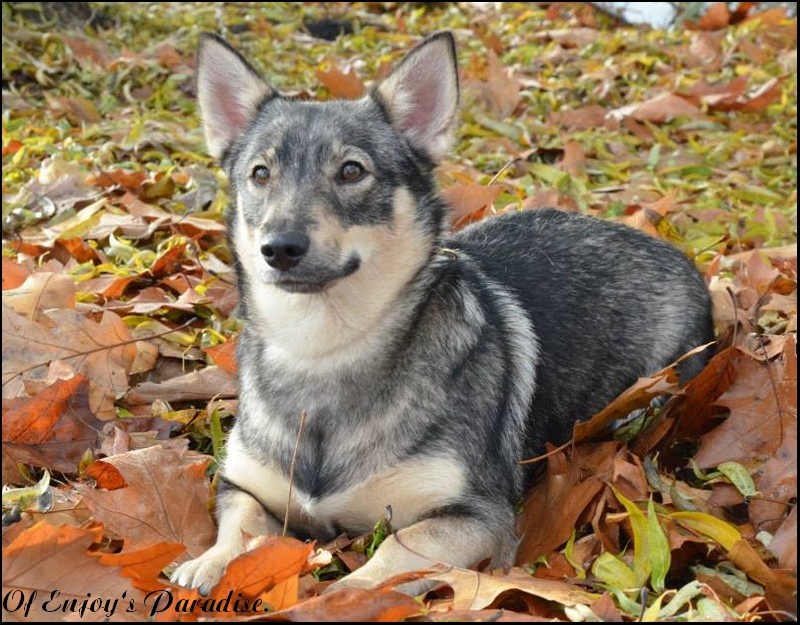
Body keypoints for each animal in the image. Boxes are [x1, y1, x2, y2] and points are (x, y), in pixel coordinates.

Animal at [173, 30, 712, 596]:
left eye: (351, 171)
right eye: (260, 174)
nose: (279, 248)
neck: (321, 348)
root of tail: (672, 250)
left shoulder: (477, 515)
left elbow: (392, 552)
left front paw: (344, 593)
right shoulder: (241, 485)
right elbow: (241, 528)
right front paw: (209, 562)